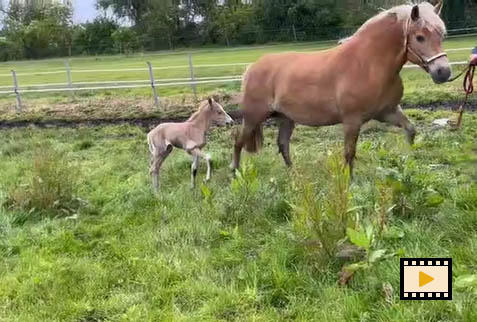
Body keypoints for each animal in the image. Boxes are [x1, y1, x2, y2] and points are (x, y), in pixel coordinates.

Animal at [233, 1, 450, 175]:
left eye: (442, 35)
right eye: (420, 37)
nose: (443, 72)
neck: (368, 64)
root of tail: (252, 67)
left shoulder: (387, 112)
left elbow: (410, 130)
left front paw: (409, 159)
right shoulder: (352, 121)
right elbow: (349, 153)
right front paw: (349, 182)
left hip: (286, 119)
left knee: (283, 145)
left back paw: (293, 175)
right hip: (253, 117)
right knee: (238, 142)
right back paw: (235, 174)